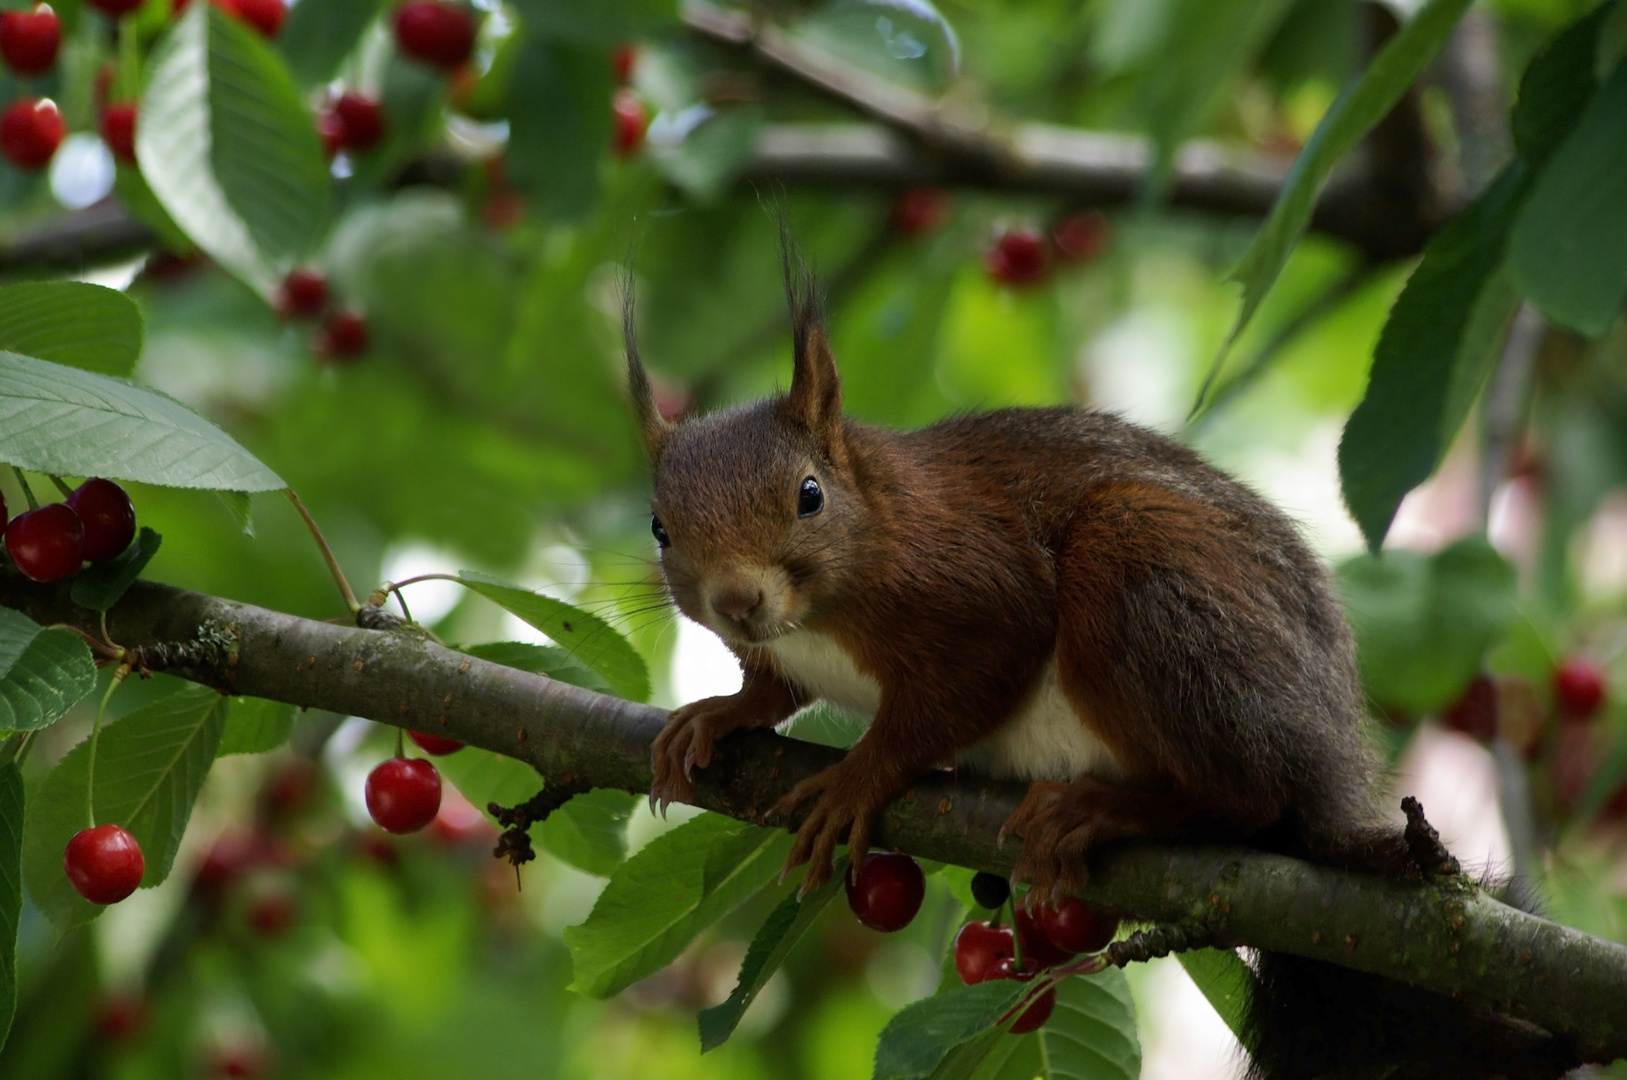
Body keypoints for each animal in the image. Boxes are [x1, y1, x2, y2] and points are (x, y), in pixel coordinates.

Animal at [628, 243, 1568, 1080]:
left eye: (809, 496)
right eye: (659, 528)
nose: (737, 602)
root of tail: (1327, 771)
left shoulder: (978, 587)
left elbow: (952, 694)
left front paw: (860, 776)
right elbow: (771, 686)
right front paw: (718, 714)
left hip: (1143, 576)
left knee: (1248, 799)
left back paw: (1109, 811)